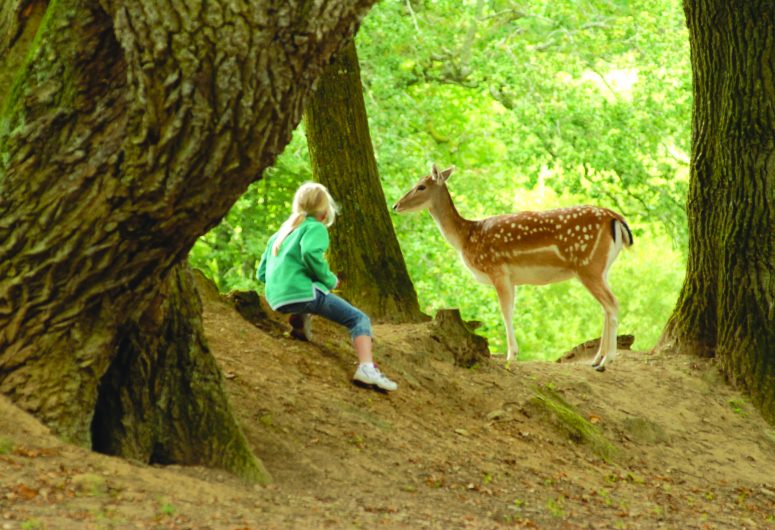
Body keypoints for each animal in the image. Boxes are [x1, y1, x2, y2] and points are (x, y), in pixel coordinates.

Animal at [392, 163, 632, 370]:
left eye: (421, 186)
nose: (396, 205)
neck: (465, 238)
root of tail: (616, 217)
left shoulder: (497, 269)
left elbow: (505, 311)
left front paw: (511, 356)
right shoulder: (512, 278)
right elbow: (511, 309)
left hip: (588, 266)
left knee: (612, 304)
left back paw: (606, 361)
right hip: (601, 268)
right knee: (607, 306)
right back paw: (596, 359)